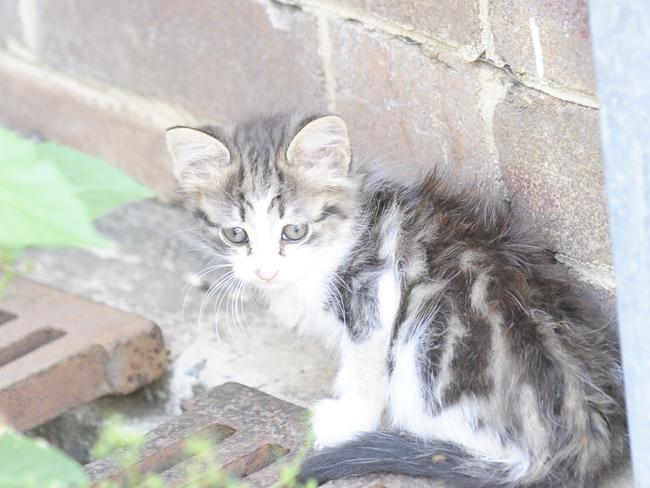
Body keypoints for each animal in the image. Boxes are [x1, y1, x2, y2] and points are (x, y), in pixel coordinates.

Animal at [165, 114, 624, 488]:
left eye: (294, 231)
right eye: (235, 234)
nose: (264, 272)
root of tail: (580, 439)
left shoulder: (375, 291)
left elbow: (364, 368)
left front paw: (347, 420)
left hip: (429, 331)